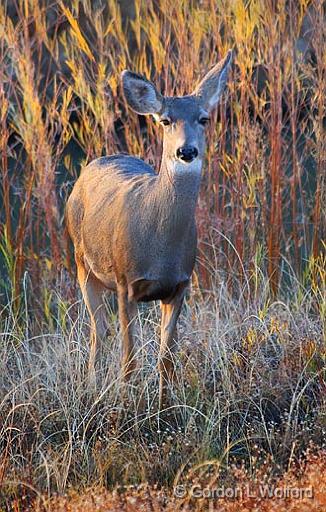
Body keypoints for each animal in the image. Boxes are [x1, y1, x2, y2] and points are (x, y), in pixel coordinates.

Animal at [65, 52, 232, 404]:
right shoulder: (125, 281)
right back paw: (92, 386)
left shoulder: (180, 285)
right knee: (98, 331)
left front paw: (165, 404)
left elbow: (166, 357)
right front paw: (126, 402)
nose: (186, 151)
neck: (161, 247)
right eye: (165, 120)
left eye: (204, 119)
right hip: (82, 262)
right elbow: (129, 356)